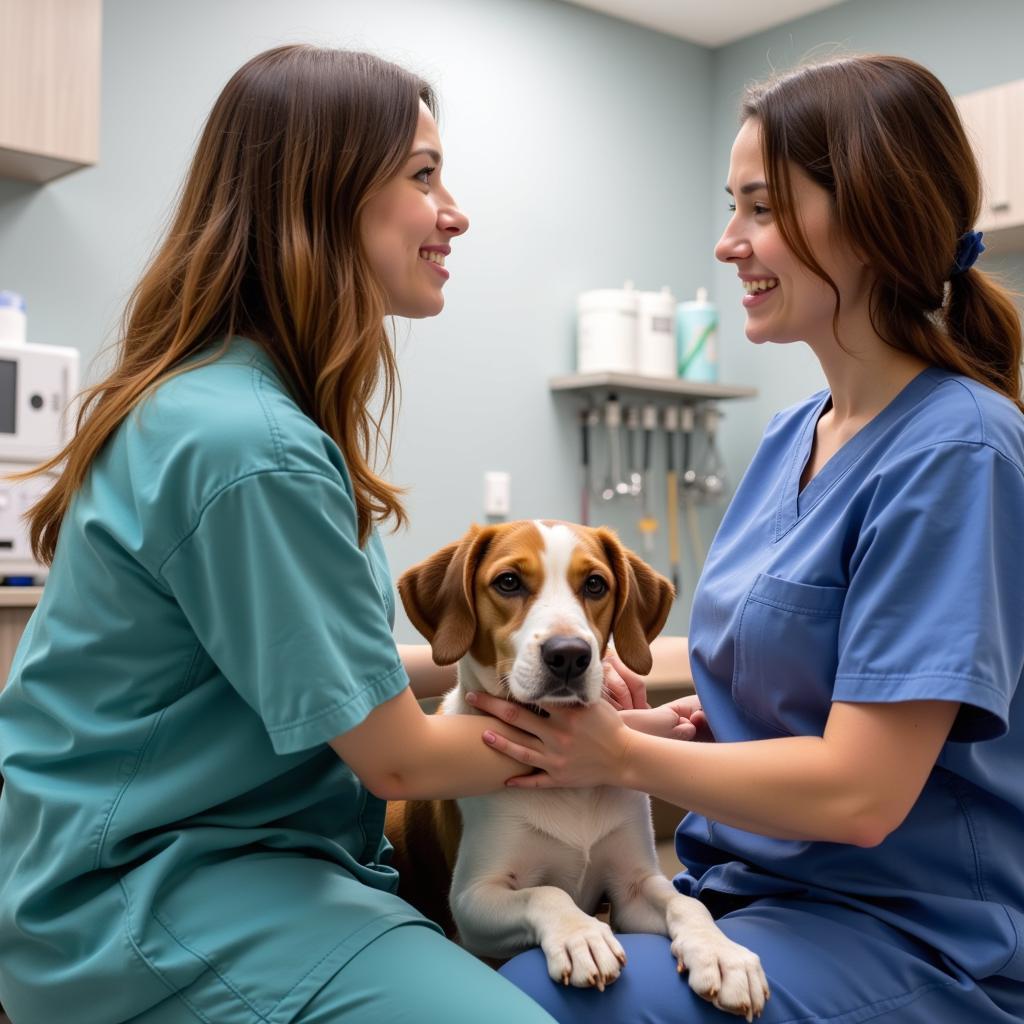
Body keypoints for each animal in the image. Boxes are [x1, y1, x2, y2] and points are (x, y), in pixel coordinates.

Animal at [391, 524, 770, 1019]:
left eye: (595, 585)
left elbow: (687, 905)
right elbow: (546, 893)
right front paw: (582, 936)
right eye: (508, 582)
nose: (569, 654)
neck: (571, 788)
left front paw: (723, 954)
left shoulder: (632, 888)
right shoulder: (473, 900)